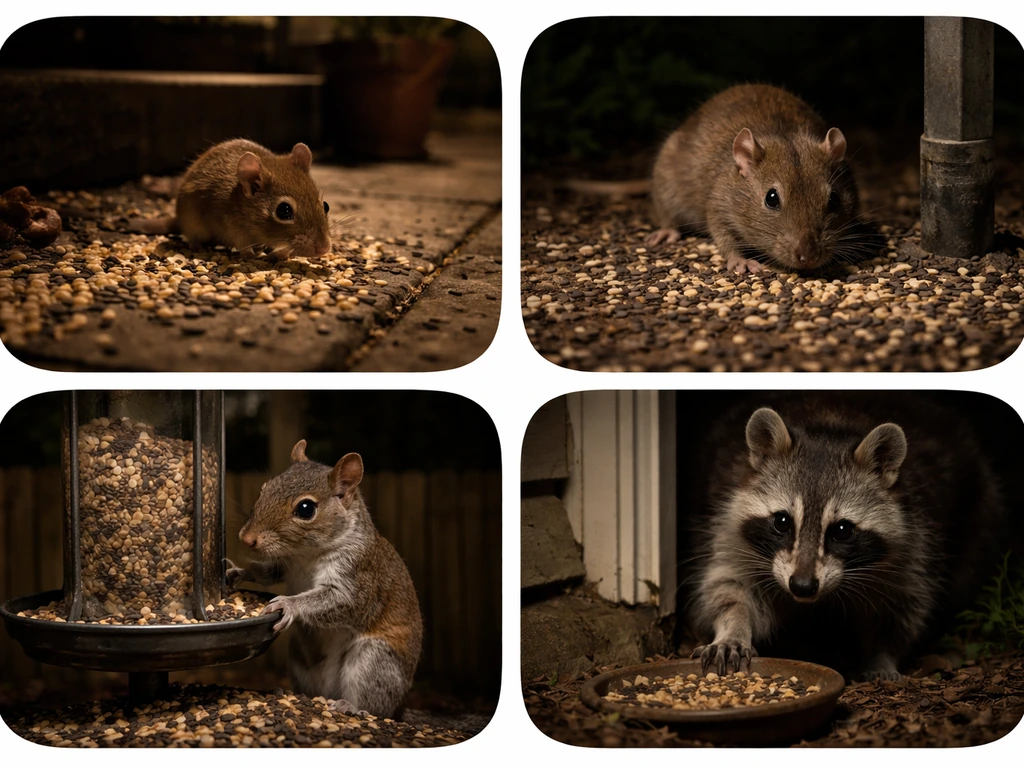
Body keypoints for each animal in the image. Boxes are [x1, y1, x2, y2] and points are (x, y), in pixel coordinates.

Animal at [688, 393, 1007, 681]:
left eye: (842, 530)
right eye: (781, 522)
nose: (803, 586)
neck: (830, 425)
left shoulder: (915, 543)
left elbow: (901, 609)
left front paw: (883, 655)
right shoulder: (730, 529)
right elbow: (729, 585)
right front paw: (732, 627)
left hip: (981, 510)